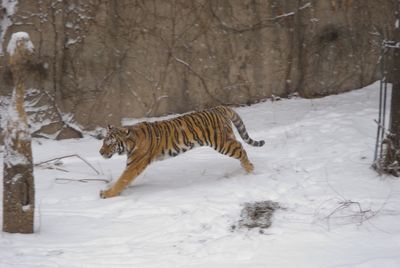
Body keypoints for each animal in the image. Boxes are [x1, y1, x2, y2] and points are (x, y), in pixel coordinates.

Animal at [98, 105, 264, 198]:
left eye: (110, 143)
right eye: (103, 141)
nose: (100, 152)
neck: (129, 143)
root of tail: (218, 108)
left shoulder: (134, 165)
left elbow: (122, 180)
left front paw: (107, 194)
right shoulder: (132, 165)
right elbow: (123, 180)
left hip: (222, 143)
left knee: (241, 149)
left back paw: (249, 168)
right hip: (226, 139)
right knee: (240, 146)